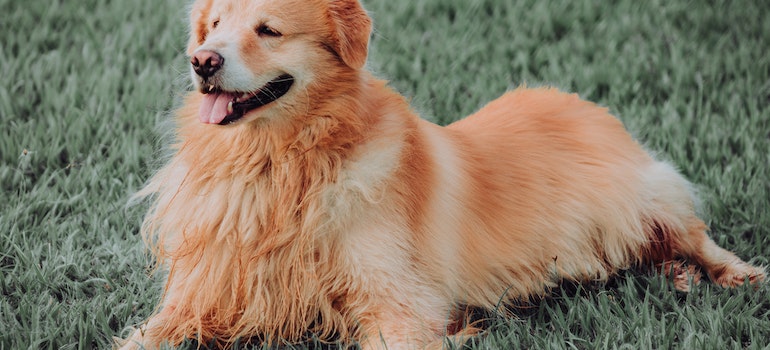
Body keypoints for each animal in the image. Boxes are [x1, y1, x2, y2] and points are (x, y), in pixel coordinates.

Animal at [118, 0, 760, 350]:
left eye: (268, 30)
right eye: (212, 26)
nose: (202, 62)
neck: (280, 161)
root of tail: (582, 100)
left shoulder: (400, 305)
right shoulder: (202, 291)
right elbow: (147, 333)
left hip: (646, 195)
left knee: (698, 236)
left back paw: (731, 274)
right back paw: (677, 276)